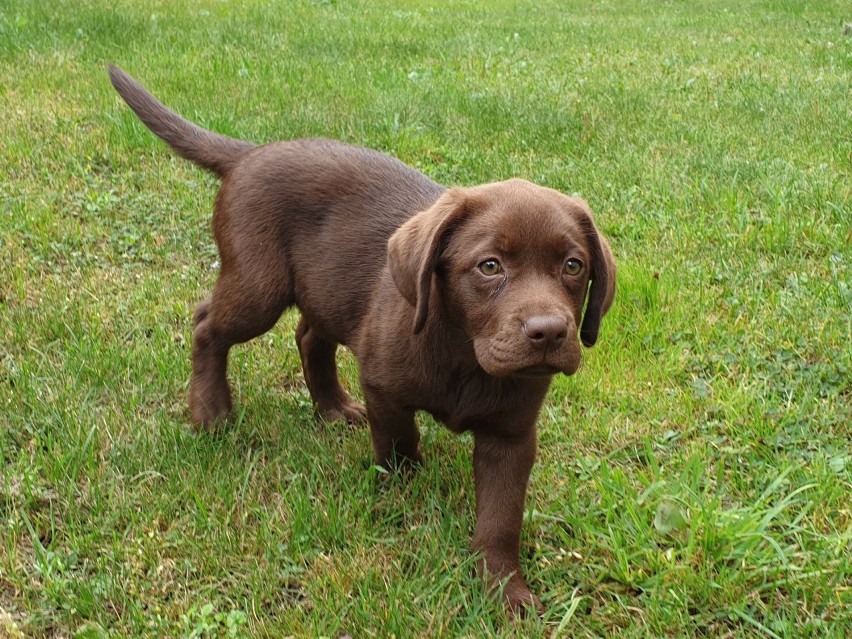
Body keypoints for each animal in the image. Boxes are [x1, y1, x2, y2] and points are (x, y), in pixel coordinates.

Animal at [108, 66, 612, 616]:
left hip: (327, 291)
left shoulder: (512, 433)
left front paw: (504, 590)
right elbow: (399, 443)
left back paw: (330, 407)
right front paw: (405, 493)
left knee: (309, 337)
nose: (549, 332)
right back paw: (211, 412)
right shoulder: (384, 388)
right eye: (489, 266)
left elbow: (501, 517)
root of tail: (253, 152)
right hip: (259, 287)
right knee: (207, 326)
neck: (464, 354)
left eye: (573, 266)